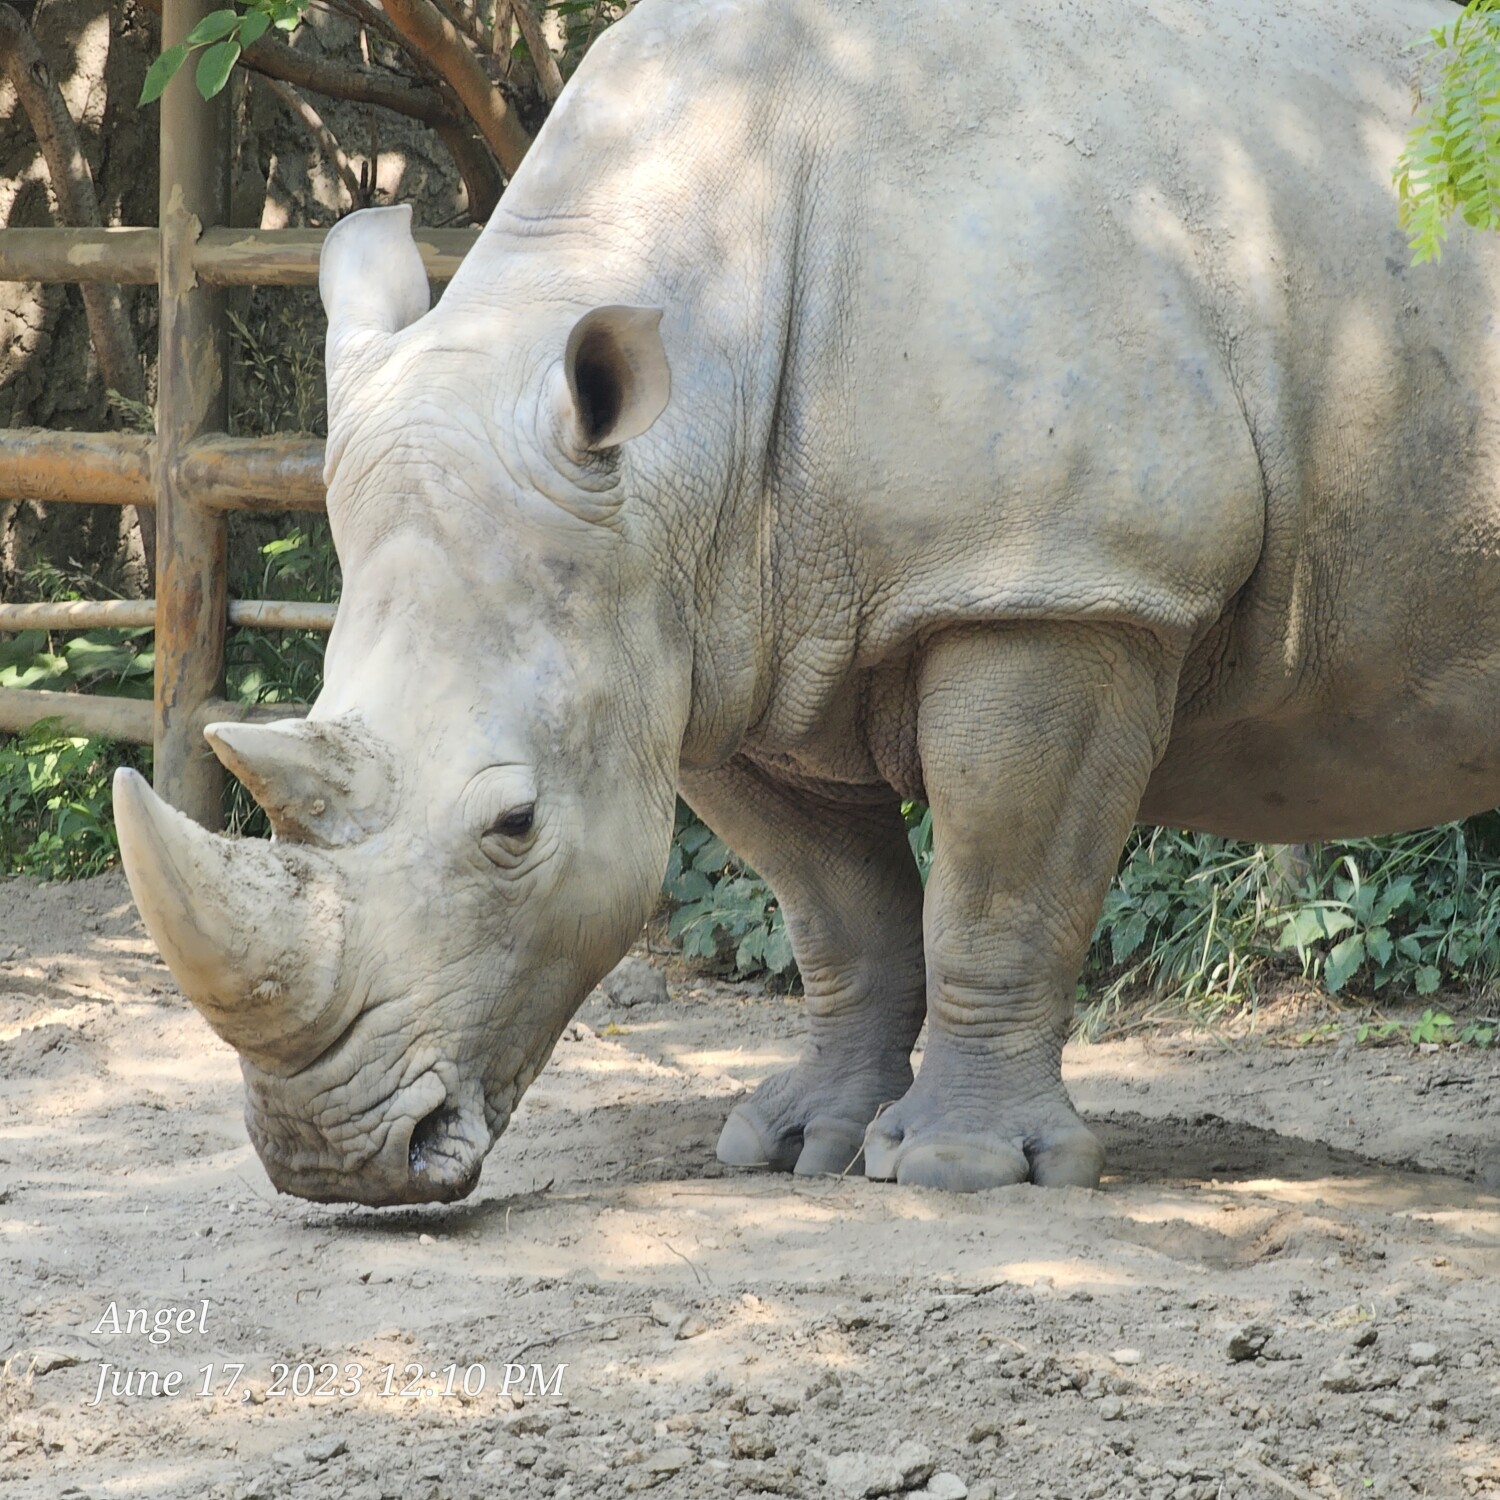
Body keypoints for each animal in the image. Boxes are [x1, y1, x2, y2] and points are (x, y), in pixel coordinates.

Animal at [114, 0, 1500, 1205]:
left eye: (514, 826)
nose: (330, 1161)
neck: (680, 443)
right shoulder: (716, 632)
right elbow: (840, 910)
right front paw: (792, 1145)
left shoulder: (1058, 582)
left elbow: (998, 886)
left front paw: (959, 1170)